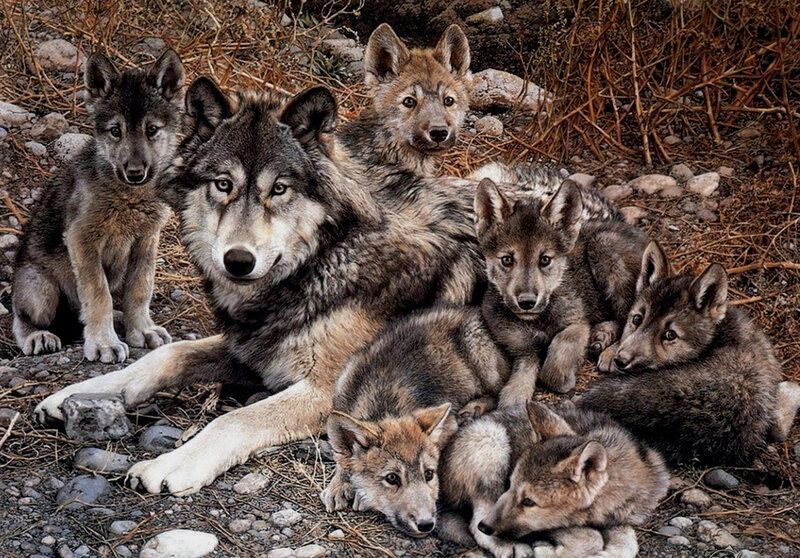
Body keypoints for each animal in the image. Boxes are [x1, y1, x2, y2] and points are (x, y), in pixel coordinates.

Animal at [12, 49, 184, 362]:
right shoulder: (82, 239)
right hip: (40, 291)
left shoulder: (146, 239)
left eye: (152, 129)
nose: (135, 173)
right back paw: (38, 336)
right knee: (21, 319)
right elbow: (97, 295)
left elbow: (140, 289)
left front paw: (142, 330)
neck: (128, 197)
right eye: (116, 130)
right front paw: (104, 343)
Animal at [34, 78, 486, 495]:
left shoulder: (328, 391)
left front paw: (172, 464)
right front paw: (77, 394)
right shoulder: (252, 347)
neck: (327, 257)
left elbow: (232, 418)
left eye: (279, 189)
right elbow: (164, 356)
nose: (238, 260)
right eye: (223, 184)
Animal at [320, 306, 510, 536]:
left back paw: (473, 409)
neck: (382, 401)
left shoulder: (448, 424)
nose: (426, 524)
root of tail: (473, 310)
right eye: (392, 478)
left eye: (429, 474)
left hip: (480, 355)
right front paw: (337, 486)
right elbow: (342, 458)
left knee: (498, 391)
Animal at [440, 402, 667, 558]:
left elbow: (628, 545)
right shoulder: (555, 525)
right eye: (510, 485)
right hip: (491, 441)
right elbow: (591, 538)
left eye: (528, 501)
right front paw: (547, 552)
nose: (486, 527)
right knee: (474, 523)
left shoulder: (620, 519)